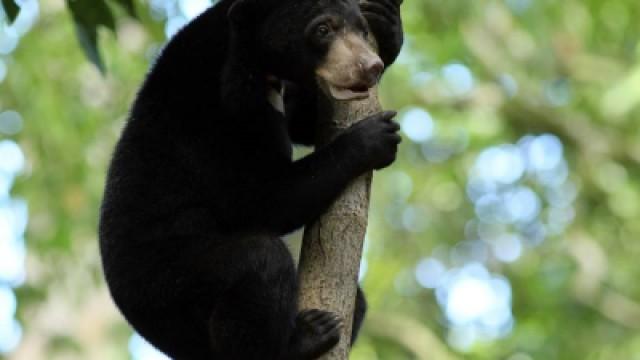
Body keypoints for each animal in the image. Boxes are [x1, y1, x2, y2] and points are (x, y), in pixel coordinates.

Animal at [97, 0, 402, 358]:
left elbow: (303, 118)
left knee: (359, 301)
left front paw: (387, 23)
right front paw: (373, 138)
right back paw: (307, 337)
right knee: (262, 262)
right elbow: (261, 200)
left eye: (362, 30)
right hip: (165, 280)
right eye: (323, 29)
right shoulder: (219, 115)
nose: (371, 67)